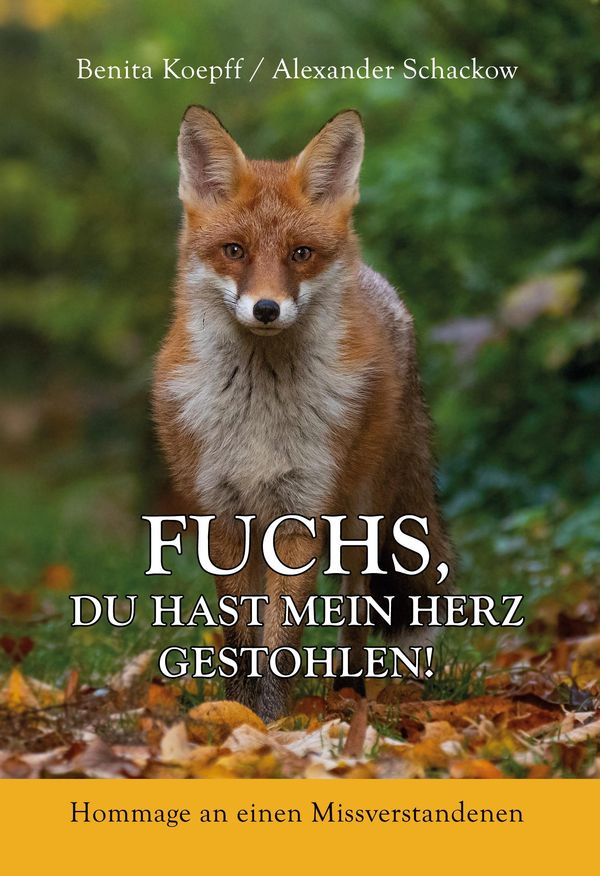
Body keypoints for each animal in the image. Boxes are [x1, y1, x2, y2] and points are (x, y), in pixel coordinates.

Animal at [152, 106, 454, 721]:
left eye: (300, 254)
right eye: (235, 251)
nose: (266, 308)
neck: (258, 418)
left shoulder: (300, 513)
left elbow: (281, 641)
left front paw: (272, 722)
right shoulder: (224, 516)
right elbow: (240, 638)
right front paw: (238, 713)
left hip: (362, 516)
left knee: (356, 608)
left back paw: (349, 691)